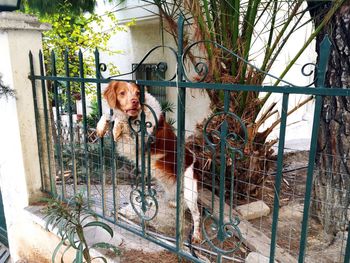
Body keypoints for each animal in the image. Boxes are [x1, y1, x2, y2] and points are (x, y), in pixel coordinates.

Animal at [95, 81, 201, 243]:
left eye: (138, 93)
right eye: (122, 93)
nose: (135, 102)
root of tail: (194, 160)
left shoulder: (139, 142)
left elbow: (122, 123)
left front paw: (117, 125)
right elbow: (109, 114)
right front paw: (102, 125)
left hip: (190, 191)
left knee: (196, 214)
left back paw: (196, 235)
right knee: (182, 202)